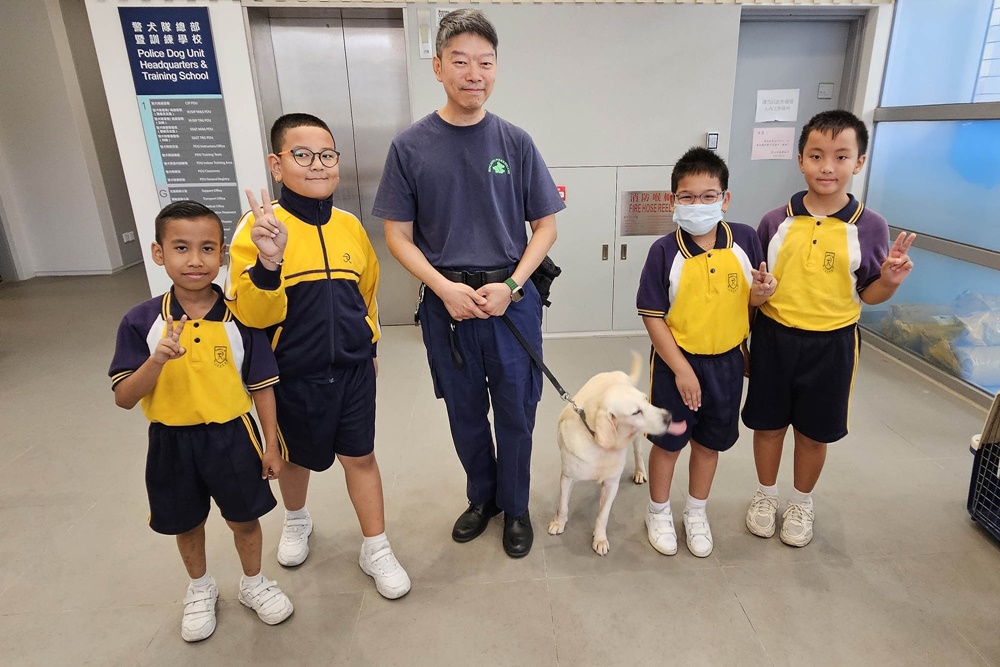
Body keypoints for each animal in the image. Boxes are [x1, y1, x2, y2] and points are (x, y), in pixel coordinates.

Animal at [547, 352, 686, 555]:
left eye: (646, 400)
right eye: (636, 412)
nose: (669, 417)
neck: (598, 445)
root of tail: (618, 374)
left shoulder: (612, 484)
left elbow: (603, 515)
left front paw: (600, 538)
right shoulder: (567, 477)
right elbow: (562, 505)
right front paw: (558, 523)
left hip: (636, 439)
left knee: (638, 452)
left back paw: (640, 471)